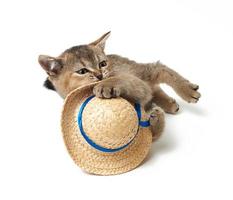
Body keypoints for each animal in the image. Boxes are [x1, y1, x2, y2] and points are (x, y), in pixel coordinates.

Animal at [37, 32, 200, 140]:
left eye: (102, 64)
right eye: (82, 71)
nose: (100, 75)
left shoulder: (134, 81)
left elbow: (120, 80)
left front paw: (105, 85)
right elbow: (150, 134)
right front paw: (155, 120)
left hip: (141, 72)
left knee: (160, 69)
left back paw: (188, 91)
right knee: (154, 87)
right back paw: (169, 104)